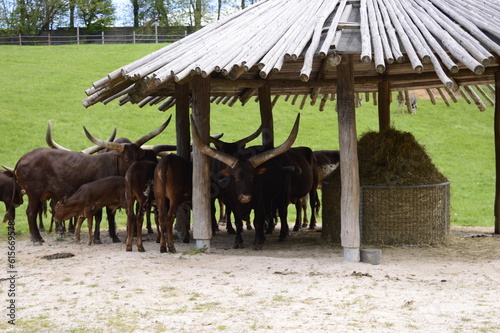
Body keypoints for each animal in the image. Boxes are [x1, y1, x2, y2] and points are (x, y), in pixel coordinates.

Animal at [13, 116, 172, 244]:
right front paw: (97, 238)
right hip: (34, 194)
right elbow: (100, 217)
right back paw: (36, 239)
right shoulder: (99, 196)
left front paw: (114, 237)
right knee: (31, 213)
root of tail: (24, 157)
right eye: (126, 158)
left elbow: (110, 216)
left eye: (138, 157)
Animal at [191, 114, 300, 249]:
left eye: (252, 178)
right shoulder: (233, 202)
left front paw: (257, 242)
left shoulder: (259, 201)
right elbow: (238, 222)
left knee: (282, 211)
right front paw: (238, 241)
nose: (245, 197)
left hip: (281, 194)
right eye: (236, 178)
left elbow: (258, 221)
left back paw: (281, 236)